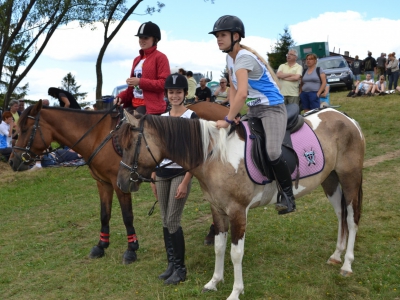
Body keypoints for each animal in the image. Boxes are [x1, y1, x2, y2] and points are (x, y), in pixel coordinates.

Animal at [116, 108, 366, 300]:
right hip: (330, 181)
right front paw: (214, 282)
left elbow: (236, 253)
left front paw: (236, 292)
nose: (121, 182)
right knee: (340, 215)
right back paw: (336, 255)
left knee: (351, 218)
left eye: (130, 145)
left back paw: (347, 264)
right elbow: (219, 247)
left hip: (350, 179)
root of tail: (347, 119)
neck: (215, 156)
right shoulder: (217, 210)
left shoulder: (237, 212)